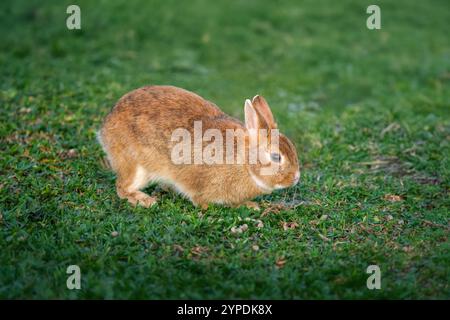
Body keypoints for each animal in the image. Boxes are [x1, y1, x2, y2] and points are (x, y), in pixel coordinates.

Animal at [99, 85, 302, 210]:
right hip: (136, 167)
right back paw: (145, 200)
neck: (244, 161)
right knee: (121, 187)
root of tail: (105, 126)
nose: (296, 178)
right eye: (276, 157)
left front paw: (250, 205)